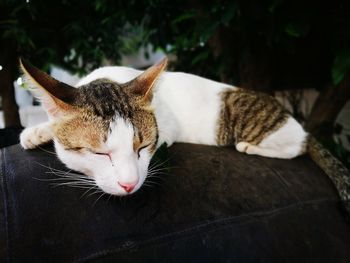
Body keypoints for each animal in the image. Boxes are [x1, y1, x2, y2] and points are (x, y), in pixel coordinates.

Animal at [20, 57, 308, 197]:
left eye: (143, 147)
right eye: (99, 153)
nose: (129, 185)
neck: (109, 77)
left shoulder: (168, 128)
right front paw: (38, 131)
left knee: (297, 147)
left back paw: (250, 146)